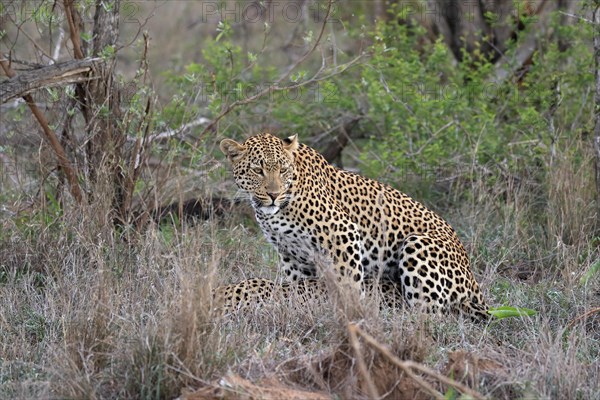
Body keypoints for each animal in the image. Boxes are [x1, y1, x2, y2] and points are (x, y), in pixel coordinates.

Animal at [218, 133, 490, 320]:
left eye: (283, 170)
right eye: (258, 170)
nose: (274, 195)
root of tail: (475, 285)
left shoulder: (342, 233)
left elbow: (347, 283)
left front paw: (352, 314)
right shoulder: (292, 256)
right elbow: (298, 287)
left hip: (417, 244)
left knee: (429, 314)